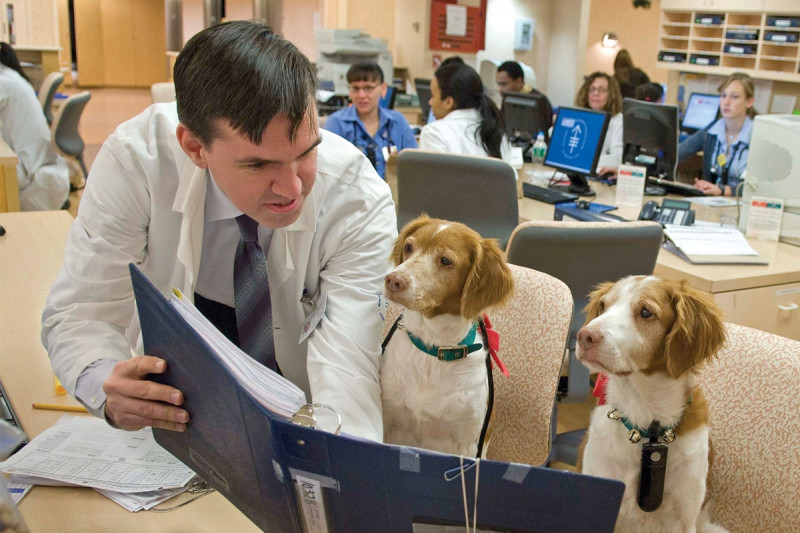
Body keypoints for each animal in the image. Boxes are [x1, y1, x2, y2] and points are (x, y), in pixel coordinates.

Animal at [380, 216, 514, 457]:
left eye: (445, 260)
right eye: (409, 247)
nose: (393, 280)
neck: (432, 348)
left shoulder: (468, 444)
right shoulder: (388, 417)